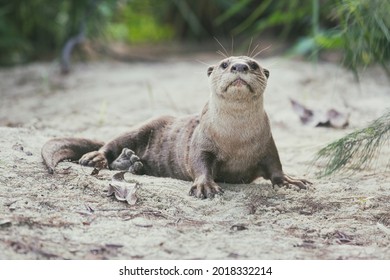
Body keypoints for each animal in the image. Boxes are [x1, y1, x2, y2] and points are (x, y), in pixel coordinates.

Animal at [42, 55, 310, 198]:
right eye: (224, 64)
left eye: (253, 64)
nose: (240, 66)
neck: (236, 139)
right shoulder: (201, 141)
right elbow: (199, 162)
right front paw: (205, 186)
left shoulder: (267, 143)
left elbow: (275, 165)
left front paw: (290, 181)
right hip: (144, 126)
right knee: (112, 143)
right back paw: (96, 157)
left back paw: (131, 163)